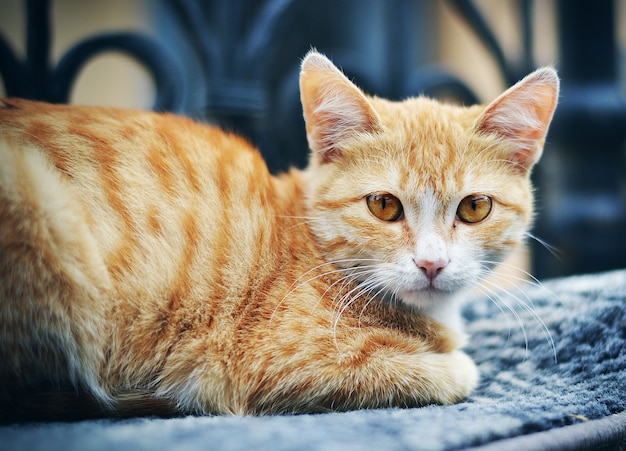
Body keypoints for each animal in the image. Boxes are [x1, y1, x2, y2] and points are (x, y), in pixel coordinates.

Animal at [0, 51, 556, 422]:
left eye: (475, 207)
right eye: (384, 205)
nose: (432, 264)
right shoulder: (268, 361)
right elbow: (452, 371)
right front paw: (452, 362)